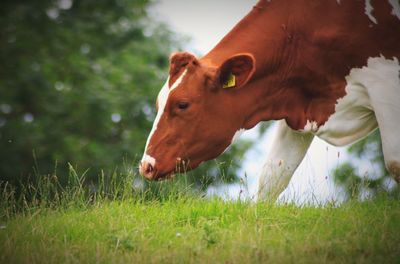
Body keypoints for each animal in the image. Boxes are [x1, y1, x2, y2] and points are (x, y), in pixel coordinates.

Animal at [138, 0, 400, 200]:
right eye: (158, 104)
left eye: (182, 104)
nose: (146, 165)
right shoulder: (300, 106)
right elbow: (272, 176)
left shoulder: (385, 84)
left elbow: (395, 164)